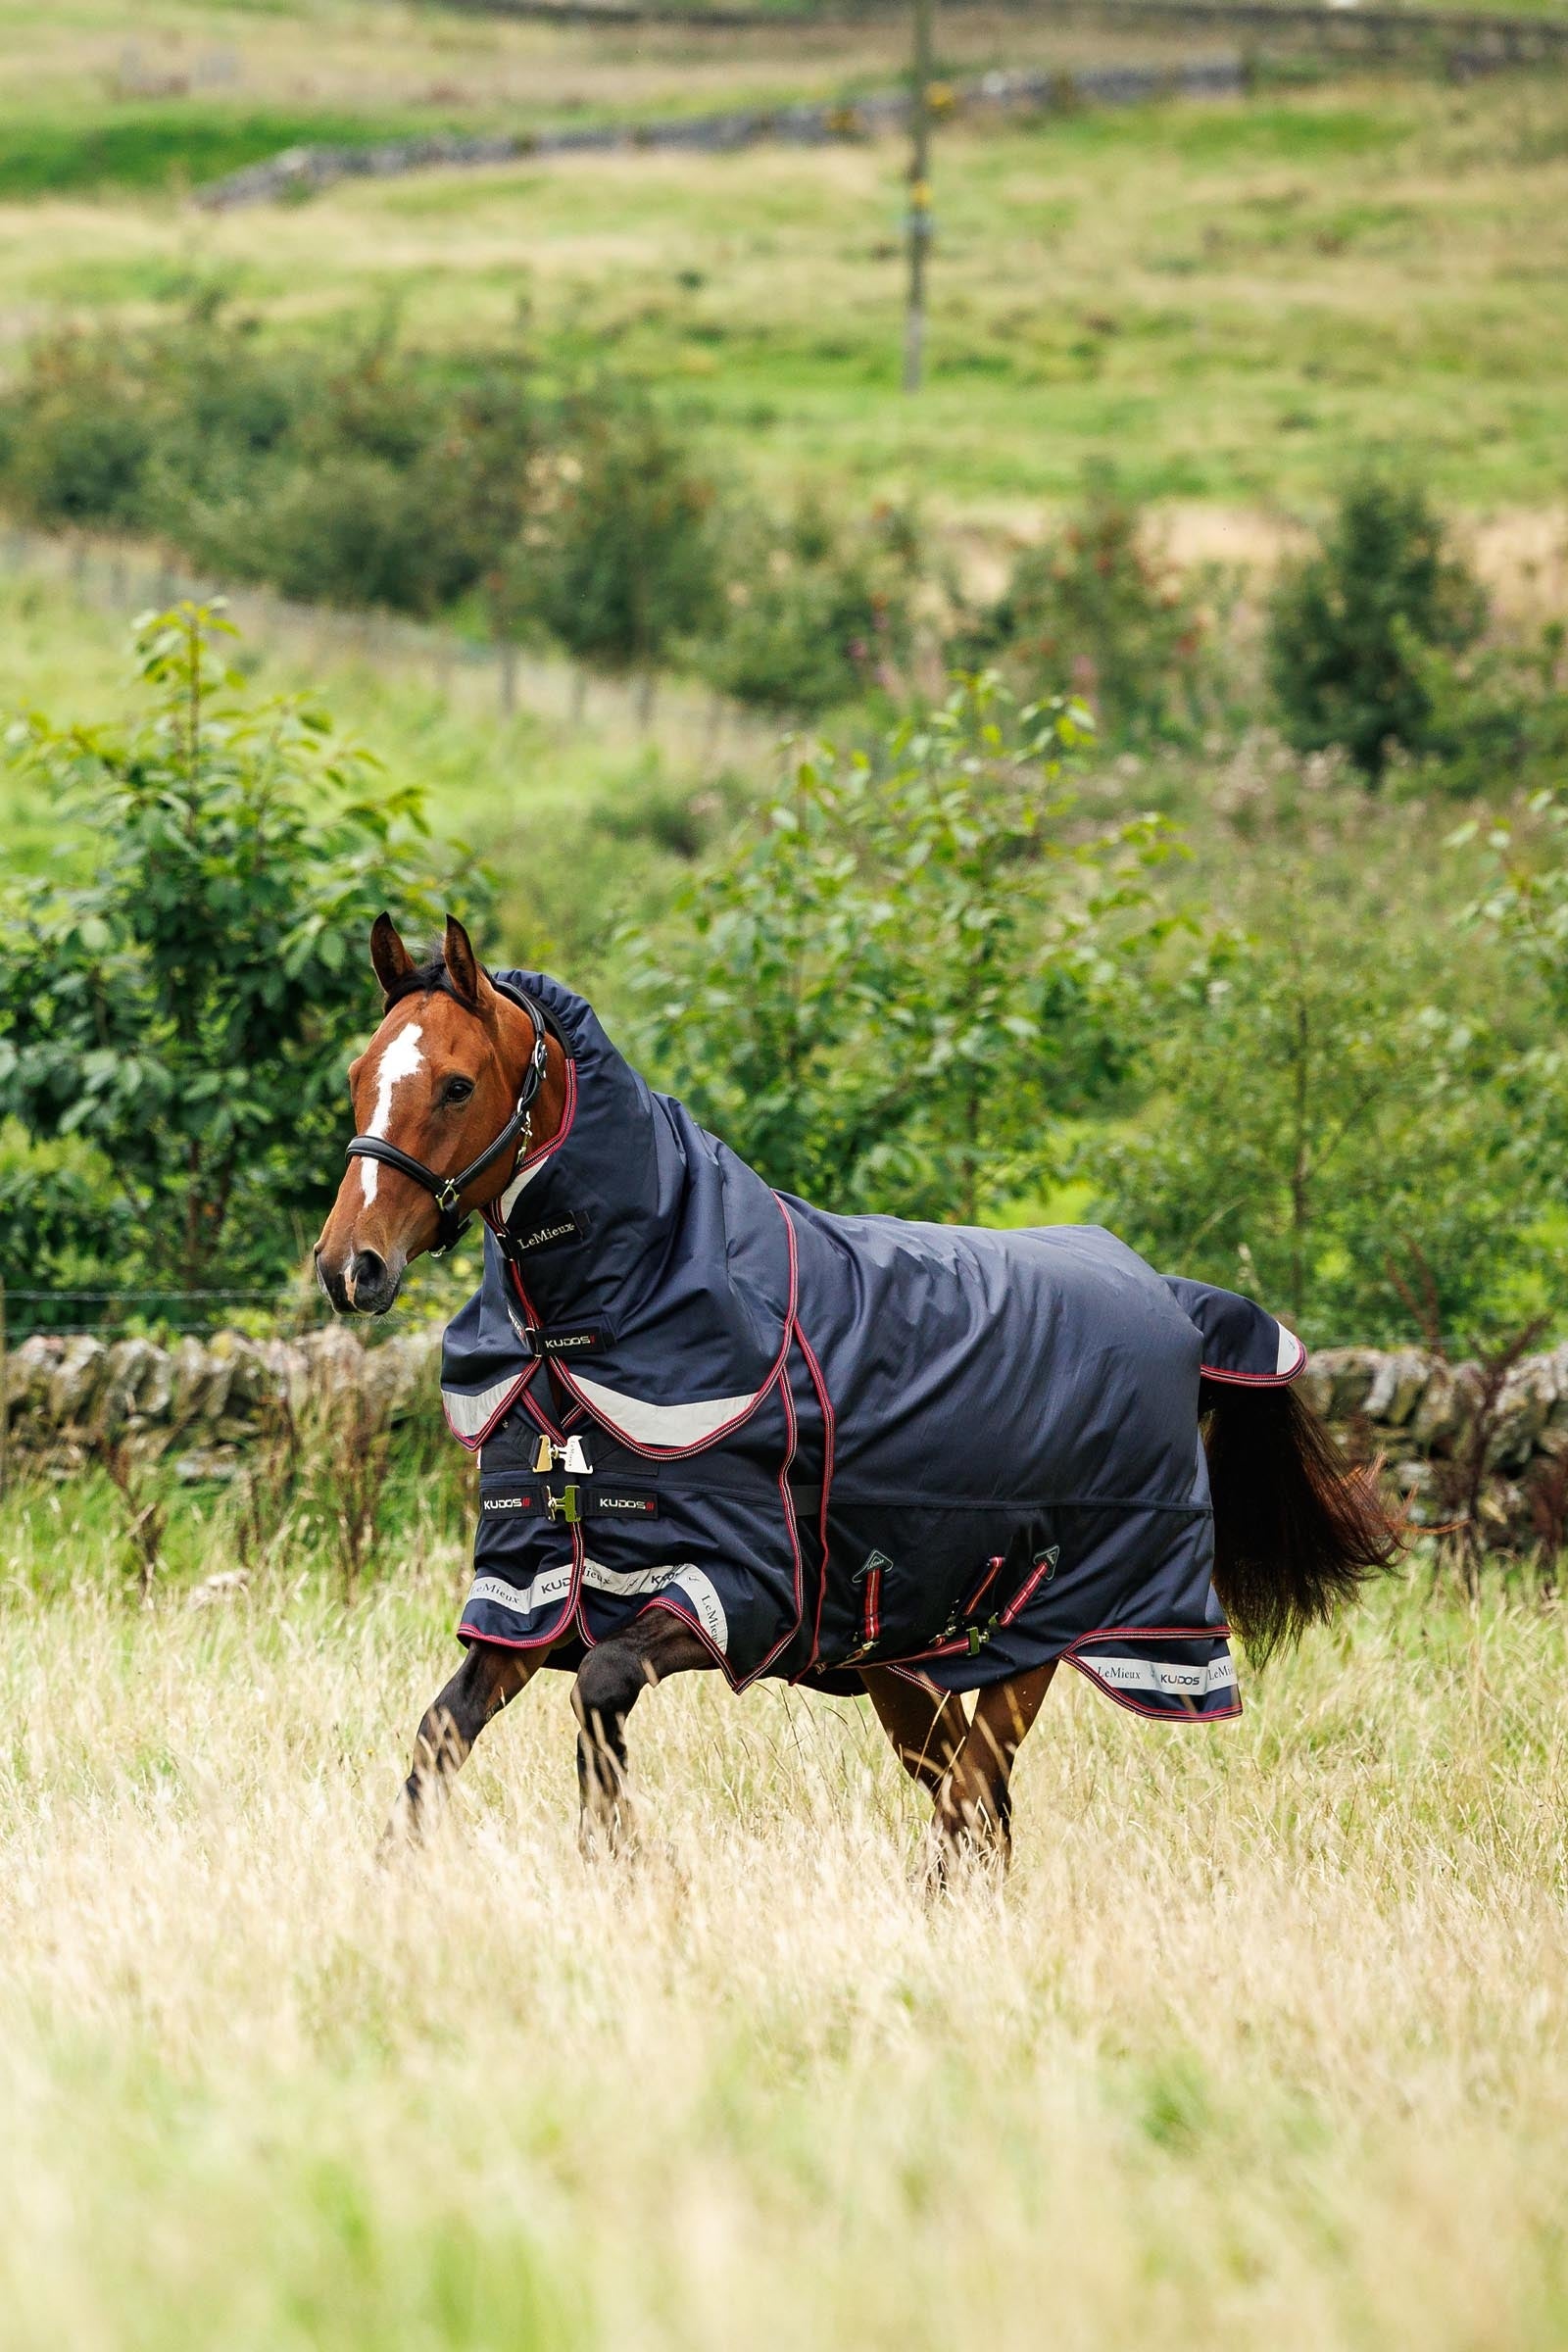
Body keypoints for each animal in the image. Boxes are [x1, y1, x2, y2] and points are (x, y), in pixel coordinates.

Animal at [316, 914, 1402, 1867]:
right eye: (360, 1079)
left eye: (456, 1084)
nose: (348, 1266)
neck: (590, 1330)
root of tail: (1173, 1302)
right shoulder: (534, 1596)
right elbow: (442, 1731)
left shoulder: (731, 1594)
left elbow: (601, 1691)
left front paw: (622, 1864)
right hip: (901, 1663)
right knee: (975, 1809)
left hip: (1045, 1633)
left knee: (972, 1804)